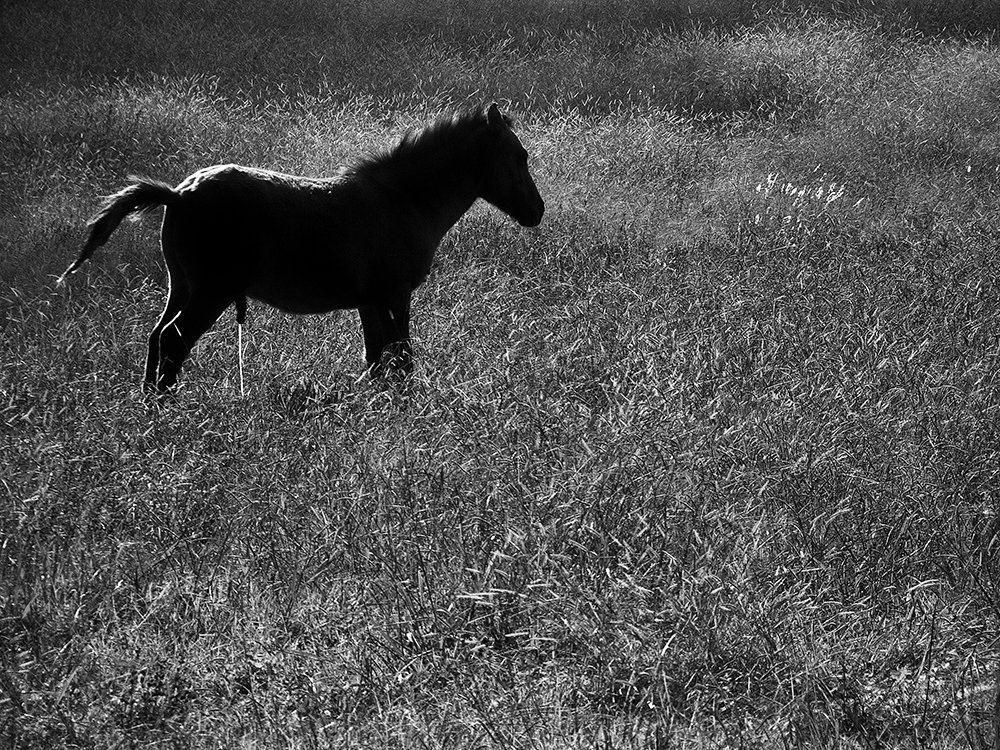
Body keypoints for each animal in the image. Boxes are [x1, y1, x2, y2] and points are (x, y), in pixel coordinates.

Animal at [58, 102, 544, 395]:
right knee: (175, 340)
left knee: (158, 336)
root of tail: (177, 194)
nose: (537, 211)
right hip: (211, 292)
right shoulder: (396, 293)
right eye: (519, 157)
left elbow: (376, 357)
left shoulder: (369, 300)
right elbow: (402, 355)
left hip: (182, 286)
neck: (402, 199)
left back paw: (150, 402)